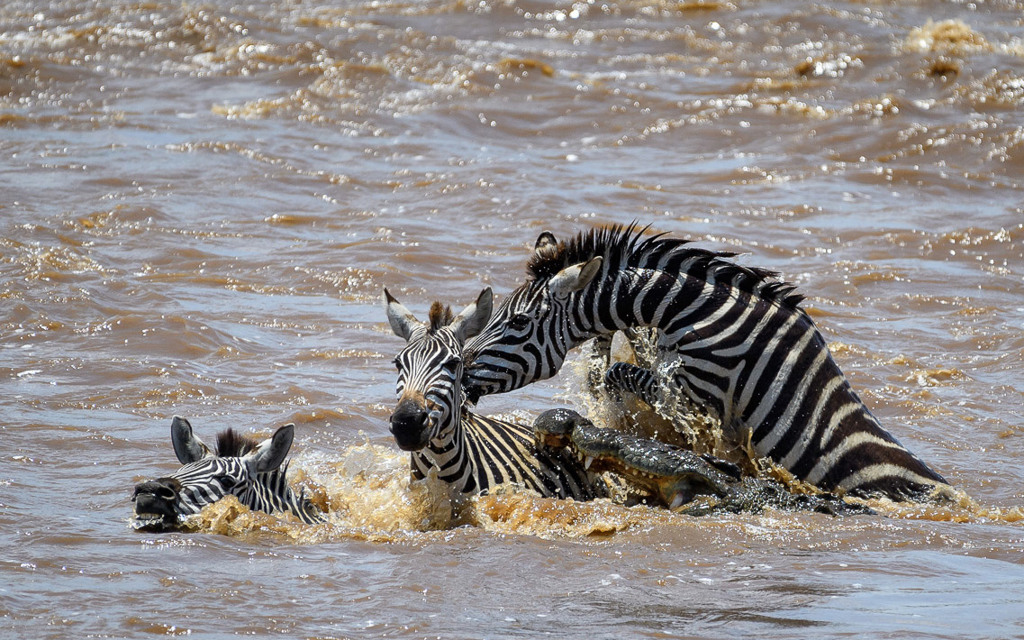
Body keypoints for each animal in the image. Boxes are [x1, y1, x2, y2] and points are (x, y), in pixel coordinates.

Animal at [462, 224, 950, 501]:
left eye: (519, 322)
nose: (462, 375)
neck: (690, 311)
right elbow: (608, 372)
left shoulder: (697, 389)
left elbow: (618, 374)